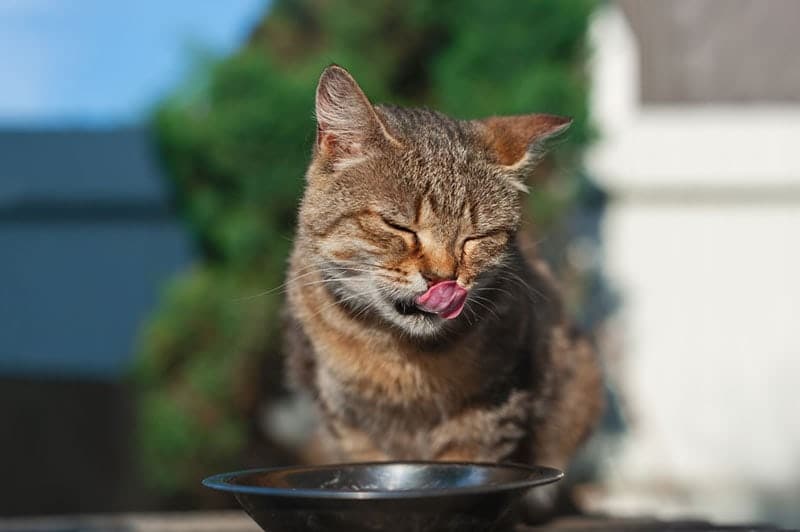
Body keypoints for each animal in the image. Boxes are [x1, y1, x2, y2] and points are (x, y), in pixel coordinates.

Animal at [284, 64, 604, 516]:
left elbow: (462, 468)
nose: (443, 278)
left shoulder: (493, 405)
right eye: (398, 226)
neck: (398, 356)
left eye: (476, 237)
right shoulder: (346, 422)